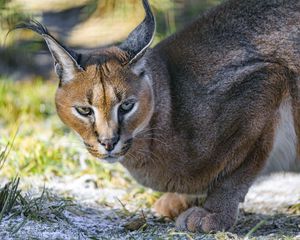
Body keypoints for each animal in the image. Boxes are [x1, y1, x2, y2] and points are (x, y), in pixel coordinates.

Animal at [16, 0, 300, 232]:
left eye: (126, 106)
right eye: (85, 110)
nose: (108, 143)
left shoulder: (267, 80)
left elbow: (239, 169)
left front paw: (213, 213)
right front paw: (181, 200)